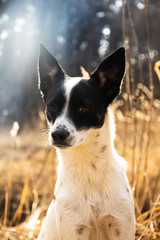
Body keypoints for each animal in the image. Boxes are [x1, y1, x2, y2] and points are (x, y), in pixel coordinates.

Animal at [37, 43, 135, 240]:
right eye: (52, 106)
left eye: (84, 108)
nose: (57, 134)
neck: (89, 169)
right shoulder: (74, 229)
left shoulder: (121, 227)